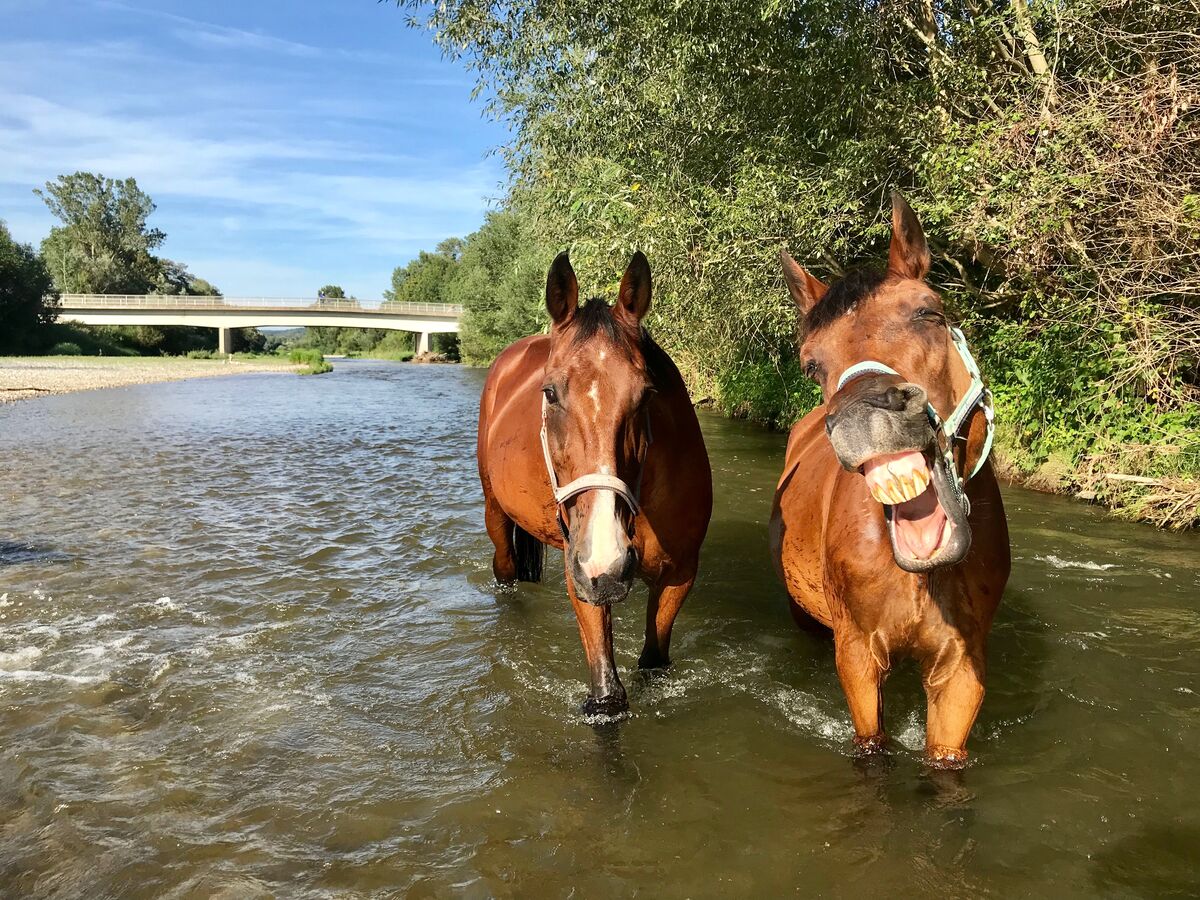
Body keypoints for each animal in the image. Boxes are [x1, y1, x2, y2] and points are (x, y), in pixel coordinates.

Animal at [477, 251, 713, 716]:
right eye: (550, 393)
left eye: (646, 394)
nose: (607, 559)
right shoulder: (583, 575)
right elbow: (607, 697)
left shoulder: (678, 575)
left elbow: (653, 661)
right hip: (497, 515)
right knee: (505, 571)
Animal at [770, 193, 1011, 768]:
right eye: (812, 364)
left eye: (929, 312)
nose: (862, 415)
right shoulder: (857, 657)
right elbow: (872, 745)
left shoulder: (961, 670)